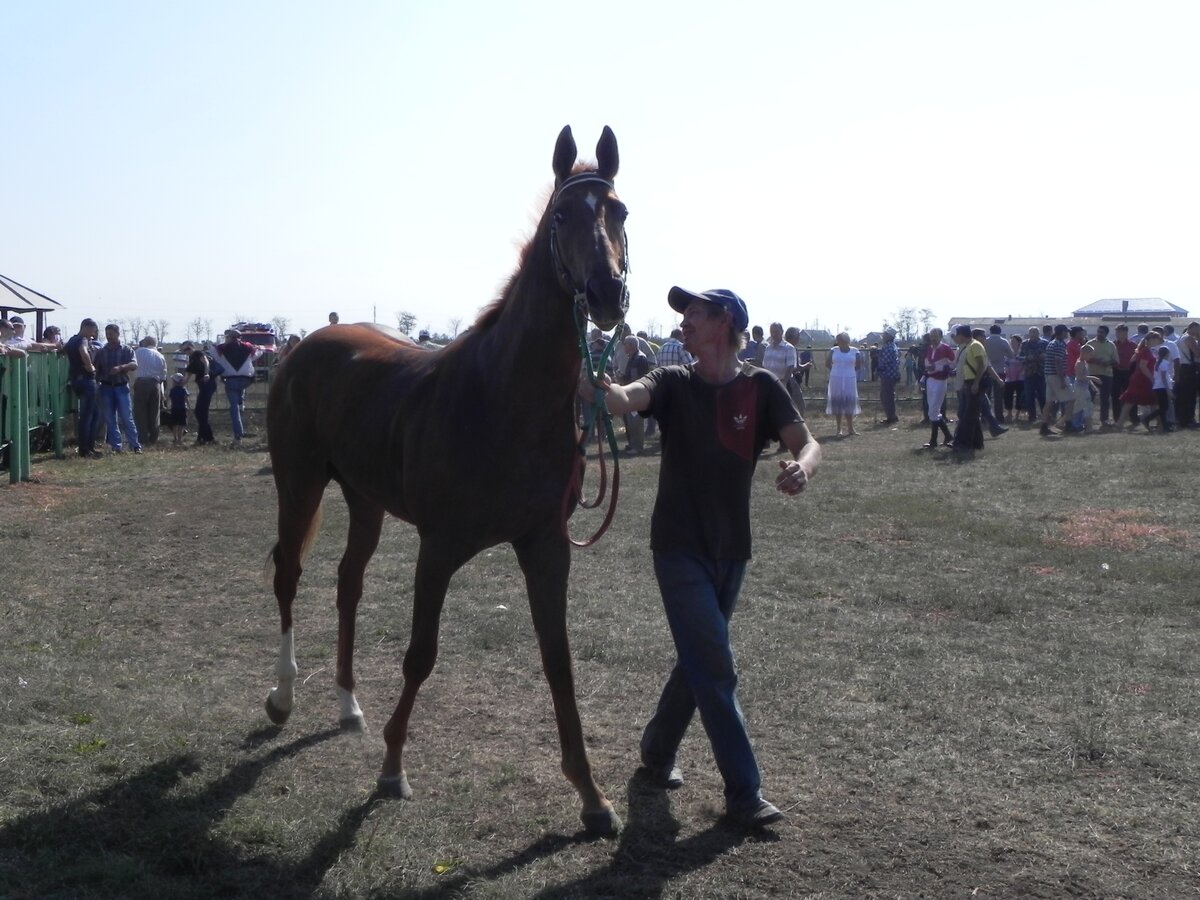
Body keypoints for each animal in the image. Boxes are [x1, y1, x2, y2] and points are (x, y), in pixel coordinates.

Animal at [265, 127, 628, 840]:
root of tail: (303, 347)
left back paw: (347, 706)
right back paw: (283, 697)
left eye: (620, 212)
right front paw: (392, 769)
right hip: (299, 485)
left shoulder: (545, 546)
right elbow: (420, 654)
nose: (606, 293)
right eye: (561, 217)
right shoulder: (438, 548)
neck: (504, 397)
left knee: (347, 584)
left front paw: (592, 794)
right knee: (288, 573)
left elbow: (558, 660)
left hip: (364, 500)